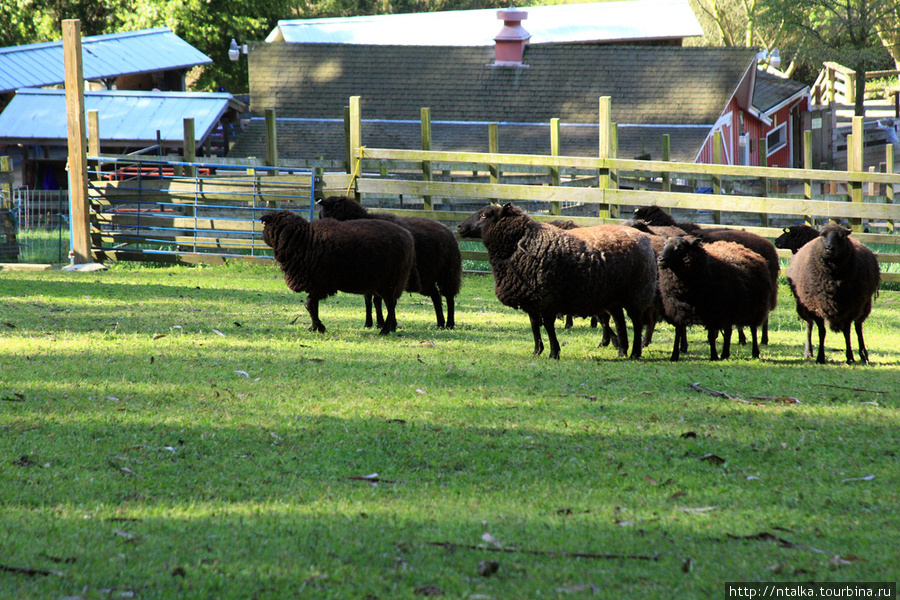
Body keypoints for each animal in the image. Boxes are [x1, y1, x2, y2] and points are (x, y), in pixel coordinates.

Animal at [258, 210, 416, 332]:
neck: (304, 240)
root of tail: (408, 236)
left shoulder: (322, 284)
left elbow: (308, 303)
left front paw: (318, 326)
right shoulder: (317, 284)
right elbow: (312, 305)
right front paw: (315, 327)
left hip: (390, 281)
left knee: (390, 304)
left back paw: (385, 330)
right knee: (391, 303)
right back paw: (391, 327)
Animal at [316, 196, 460, 328]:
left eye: (321, 215)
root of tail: (447, 230)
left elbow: (378, 299)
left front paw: (383, 323)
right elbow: (369, 299)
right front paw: (371, 323)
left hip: (447, 272)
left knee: (449, 296)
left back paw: (449, 323)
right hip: (427, 277)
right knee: (436, 295)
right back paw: (440, 323)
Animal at [458, 204, 652, 358]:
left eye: (484, 215)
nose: (459, 226)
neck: (520, 245)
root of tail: (643, 237)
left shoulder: (547, 298)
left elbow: (548, 327)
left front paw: (553, 352)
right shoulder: (531, 299)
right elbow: (534, 326)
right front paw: (537, 350)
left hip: (638, 291)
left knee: (636, 322)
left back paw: (635, 352)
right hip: (613, 297)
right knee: (619, 320)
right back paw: (622, 351)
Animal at [788, 226, 880, 364]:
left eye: (842, 236)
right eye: (822, 235)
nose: (829, 248)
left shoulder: (850, 307)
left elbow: (847, 333)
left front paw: (850, 357)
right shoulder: (816, 308)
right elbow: (822, 332)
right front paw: (820, 357)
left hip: (863, 305)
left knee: (858, 327)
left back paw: (863, 354)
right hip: (804, 306)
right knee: (809, 325)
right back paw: (808, 352)